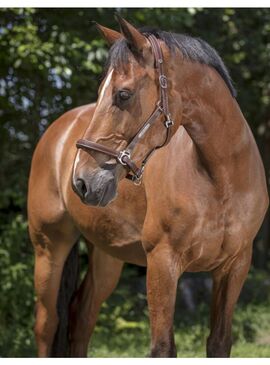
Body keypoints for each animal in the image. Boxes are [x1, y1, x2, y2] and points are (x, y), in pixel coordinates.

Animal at [27, 15, 268, 356]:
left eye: (123, 95)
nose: (82, 181)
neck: (220, 181)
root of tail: (58, 129)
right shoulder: (162, 265)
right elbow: (163, 346)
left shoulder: (234, 268)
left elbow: (219, 341)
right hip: (49, 247)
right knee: (47, 325)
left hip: (107, 256)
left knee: (81, 318)